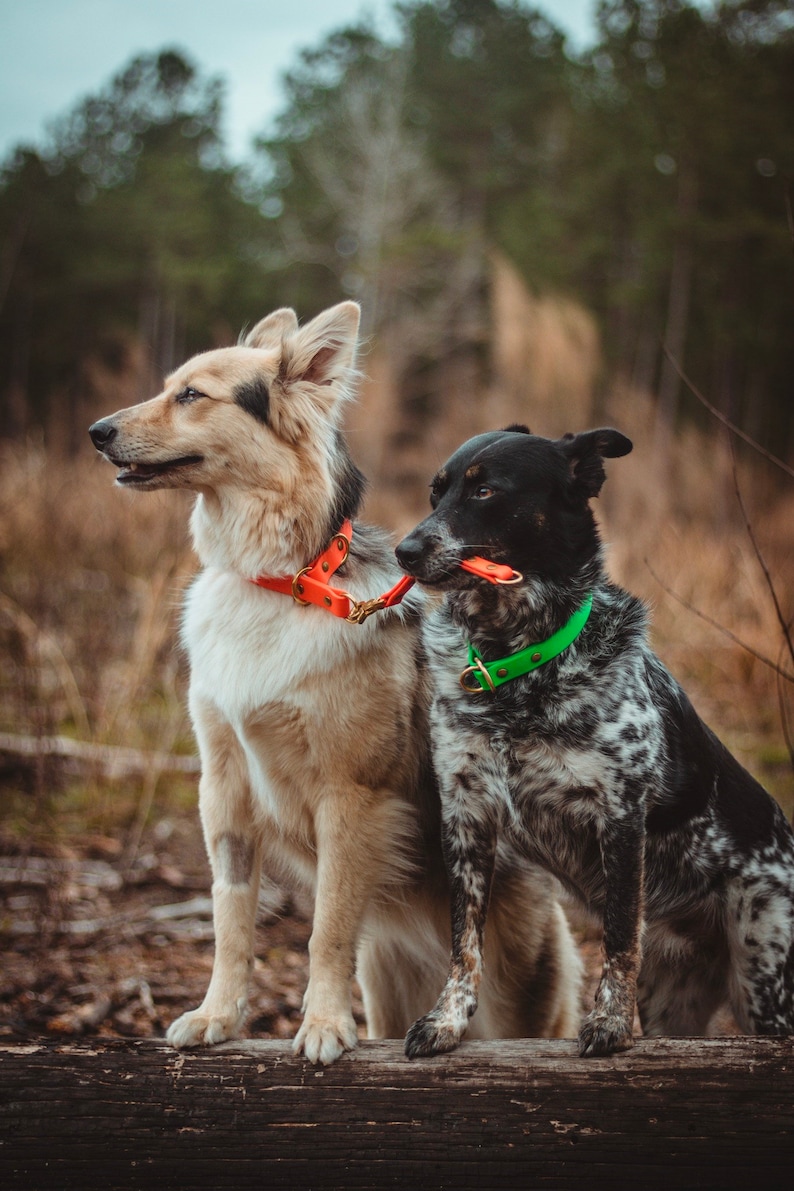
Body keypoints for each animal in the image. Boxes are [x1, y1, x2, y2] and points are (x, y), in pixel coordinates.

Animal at [88, 302, 583, 1067]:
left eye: (192, 396)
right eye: (171, 387)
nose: (97, 432)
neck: (277, 581)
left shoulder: (352, 799)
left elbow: (326, 927)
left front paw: (321, 1024)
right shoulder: (224, 789)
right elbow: (230, 921)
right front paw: (217, 1015)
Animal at [397, 423, 794, 1057]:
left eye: (485, 491)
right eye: (436, 492)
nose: (405, 551)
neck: (520, 661)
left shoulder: (620, 817)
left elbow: (618, 936)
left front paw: (607, 1022)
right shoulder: (465, 815)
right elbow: (464, 940)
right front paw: (447, 1021)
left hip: (764, 969)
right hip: (673, 998)